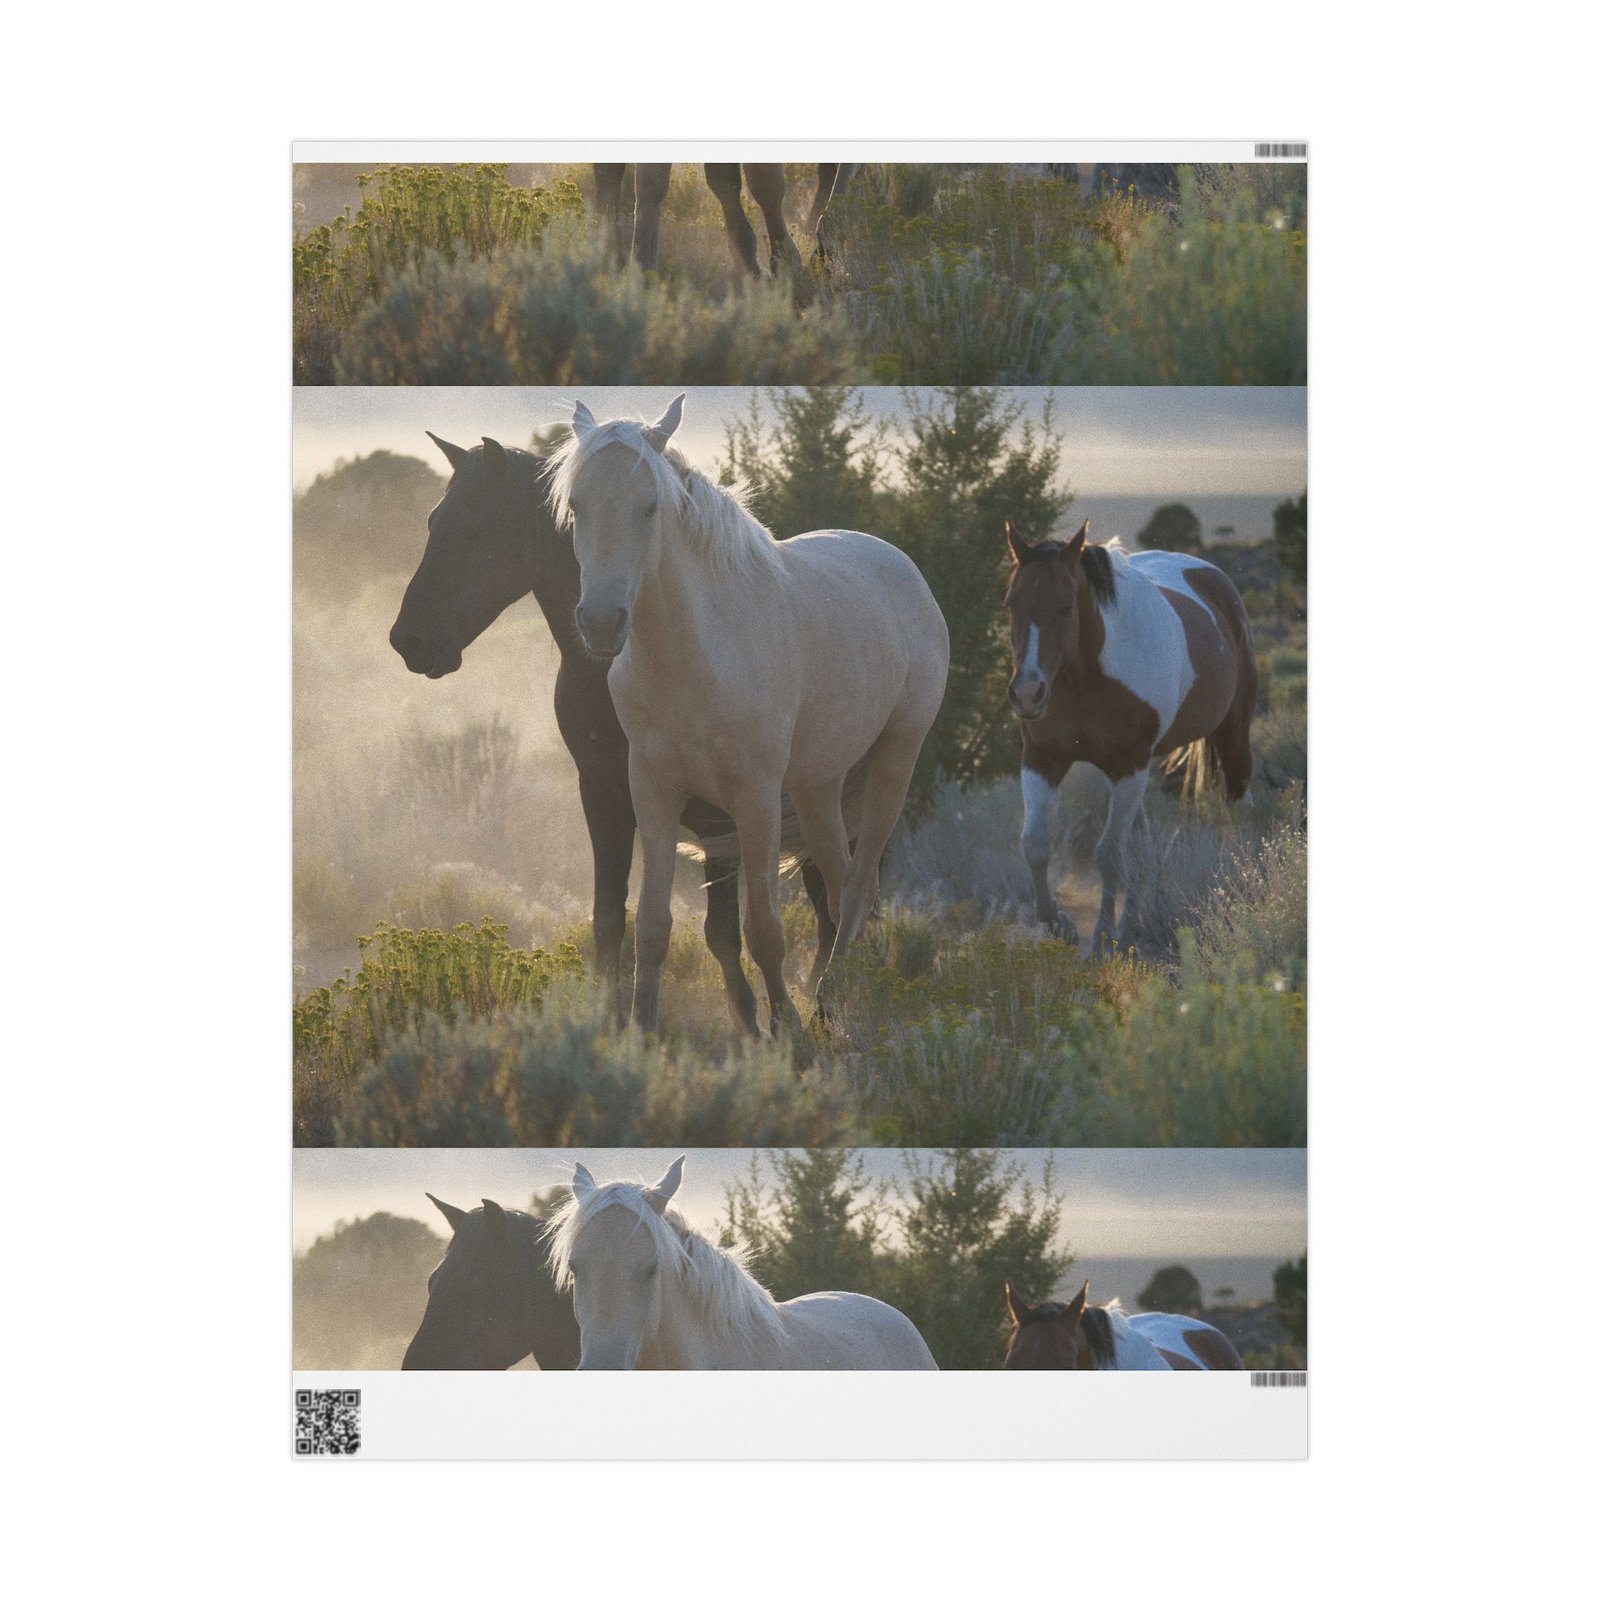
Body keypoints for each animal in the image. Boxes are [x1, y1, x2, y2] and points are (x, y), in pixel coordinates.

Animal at [551, 395, 949, 1033]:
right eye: (577, 507)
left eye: (650, 506)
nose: (601, 624)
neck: (696, 656)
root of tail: (903, 569)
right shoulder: (653, 792)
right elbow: (652, 928)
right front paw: (641, 1031)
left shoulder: (754, 798)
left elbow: (763, 931)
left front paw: (786, 1029)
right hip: (816, 785)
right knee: (839, 883)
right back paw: (833, 994)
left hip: (895, 759)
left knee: (859, 886)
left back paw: (831, 1001)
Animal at [1002, 519, 1258, 951]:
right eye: (1011, 604)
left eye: (1066, 605)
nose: (1027, 692)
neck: (1086, 676)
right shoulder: (1042, 759)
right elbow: (1034, 845)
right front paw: (1062, 924)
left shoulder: (1128, 766)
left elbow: (1107, 854)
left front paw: (1103, 936)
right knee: (1136, 841)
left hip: (1232, 737)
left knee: (1236, 812)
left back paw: (1236, 883)